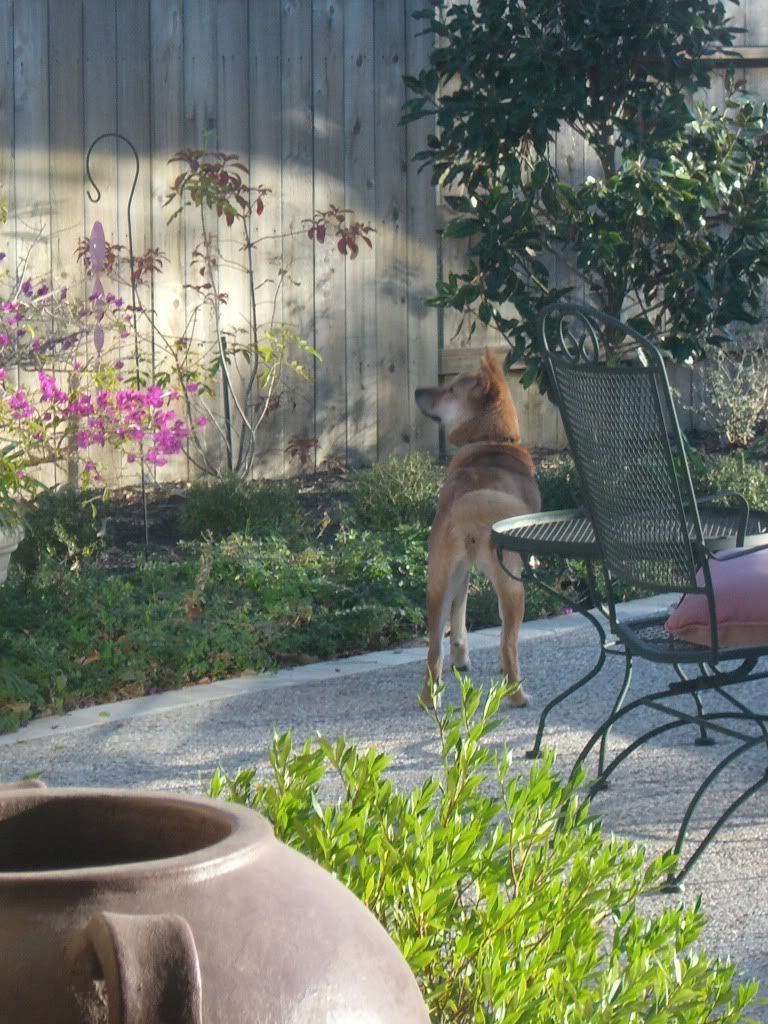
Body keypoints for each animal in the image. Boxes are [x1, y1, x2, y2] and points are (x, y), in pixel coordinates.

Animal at [415, 348, 540, 708]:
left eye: (449, 389)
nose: (416, 391)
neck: (492, 442)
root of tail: (468, 510)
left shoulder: (460, 573)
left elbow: (458, 619)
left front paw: (461, 659)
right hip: (512, 583)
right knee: (508, 642)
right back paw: (517, 694)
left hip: (437, 580)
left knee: (433, 649)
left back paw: (430, 697)